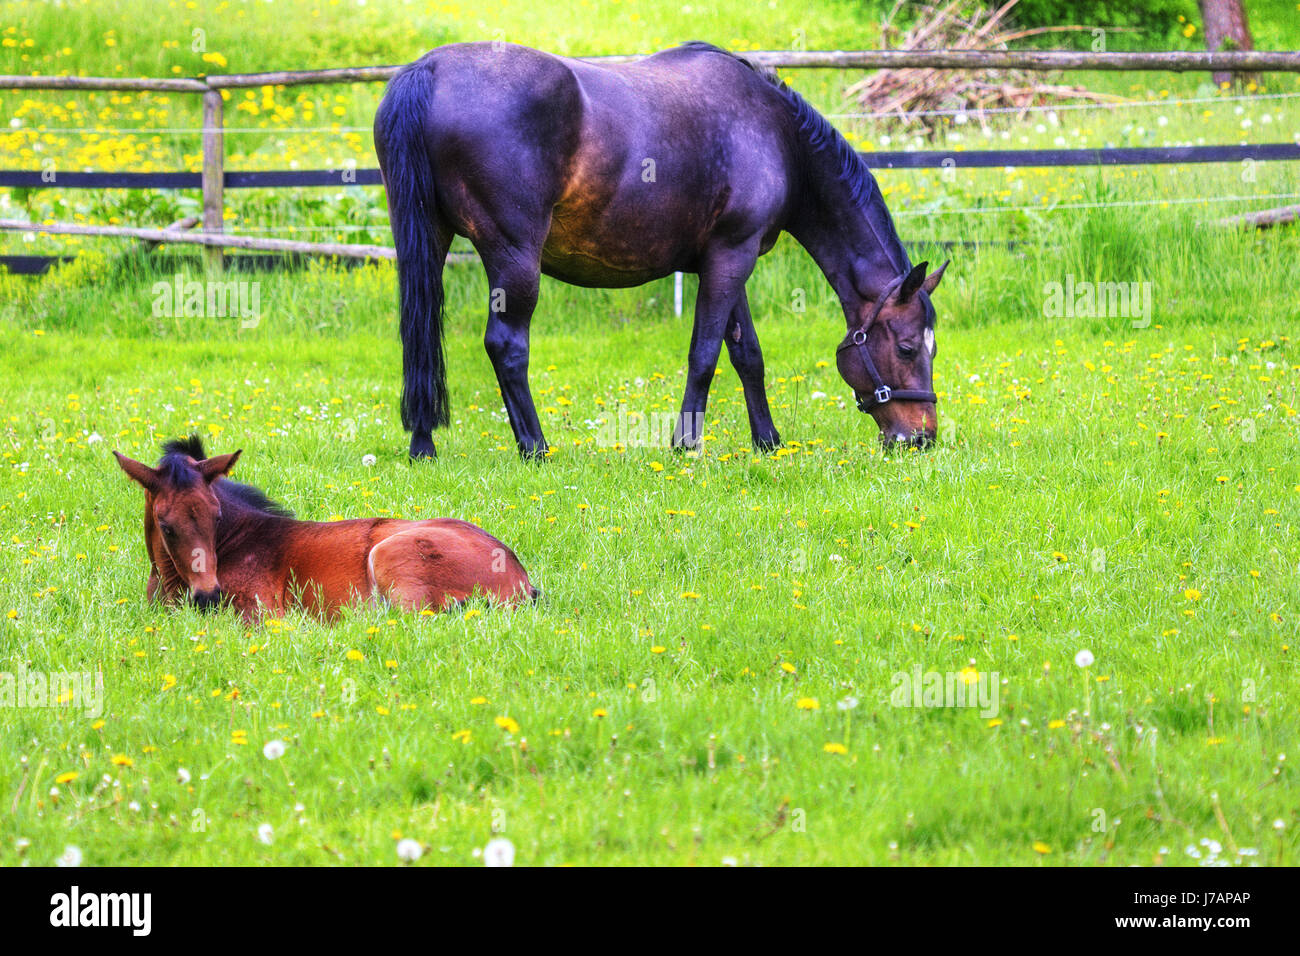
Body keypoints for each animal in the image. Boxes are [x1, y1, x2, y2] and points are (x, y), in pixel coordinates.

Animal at [113, 434, 538, 621]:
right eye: (166, 526)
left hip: (391, 560)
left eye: (216, 516)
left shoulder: (262, 613)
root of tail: (522, 581)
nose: (207, 596)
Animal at [377, 41, 946, 463]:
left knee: (418, 338)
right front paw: (685, 444)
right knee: (507, 346)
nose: (921, 438)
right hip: (513, 256)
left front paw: (768, 441)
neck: (775, 133)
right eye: (907, 348)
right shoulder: (731, 258)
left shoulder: (726, 259)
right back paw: (535, 448)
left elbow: (748, 355)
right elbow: (704, 354)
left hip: (428, 240)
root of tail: (428, 70)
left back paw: (423, 446)